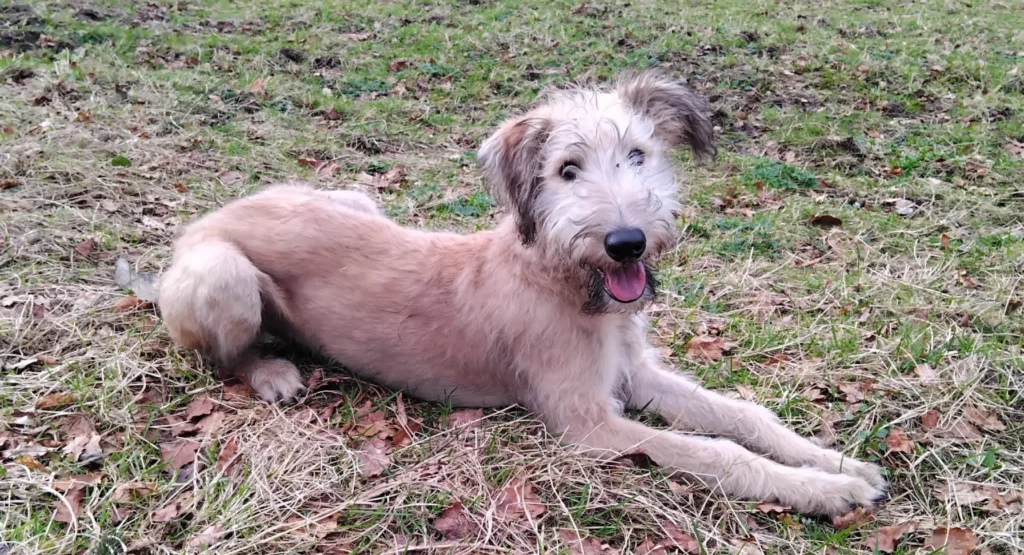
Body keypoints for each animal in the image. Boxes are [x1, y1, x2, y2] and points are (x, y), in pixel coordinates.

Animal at [159, 70, 888, 518]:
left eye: (638, 155)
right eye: (567, 170)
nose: (627, 242)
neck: (563, 278)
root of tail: (208, 216)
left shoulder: (636, 375)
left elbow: (745, 417)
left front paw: (835, 460)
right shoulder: (591, 425)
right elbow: (715, 450)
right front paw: (823, 489)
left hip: (356, 197)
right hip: (220, 275)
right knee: (222, 354)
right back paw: (271, 371)